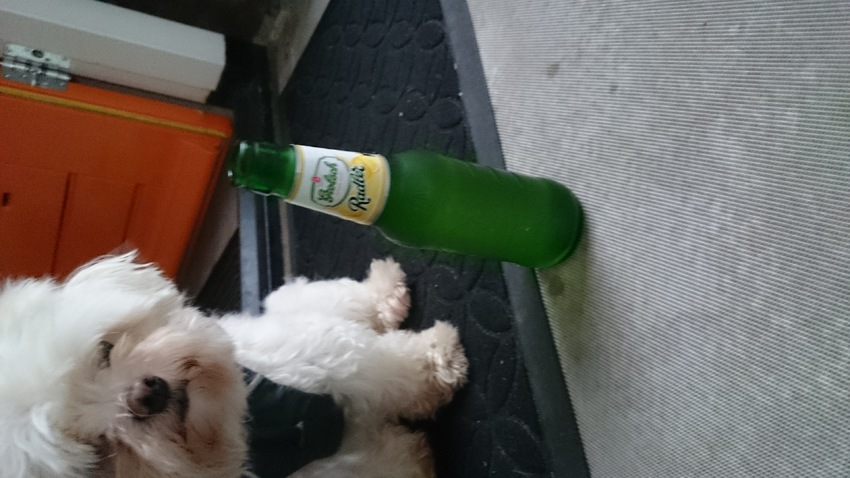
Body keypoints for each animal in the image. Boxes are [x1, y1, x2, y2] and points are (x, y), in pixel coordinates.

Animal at [0, 253, 468, 477]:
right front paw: (419, 455)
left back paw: (385, 289)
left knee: (339, 297)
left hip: (295, 309)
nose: (143, 395)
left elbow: (385, 366)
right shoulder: (335, 467)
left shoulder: (318, 353)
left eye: (104, 349)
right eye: (99, 451)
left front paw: (439, 354)